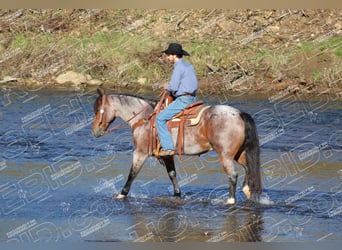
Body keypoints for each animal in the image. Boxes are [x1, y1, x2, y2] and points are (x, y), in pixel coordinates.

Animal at [92, 87, 264, 204]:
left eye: (97, 110)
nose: (95, 131)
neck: (144, 118)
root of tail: (239, 114)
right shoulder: (167, 155)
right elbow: (172, 174)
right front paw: (177, 194)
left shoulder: (140, 153)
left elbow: (132, 174)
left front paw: (121, 194)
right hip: (238, 153)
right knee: (248, 168)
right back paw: (248, 191)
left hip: (225, 155)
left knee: (233, 175)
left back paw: (230, 200)